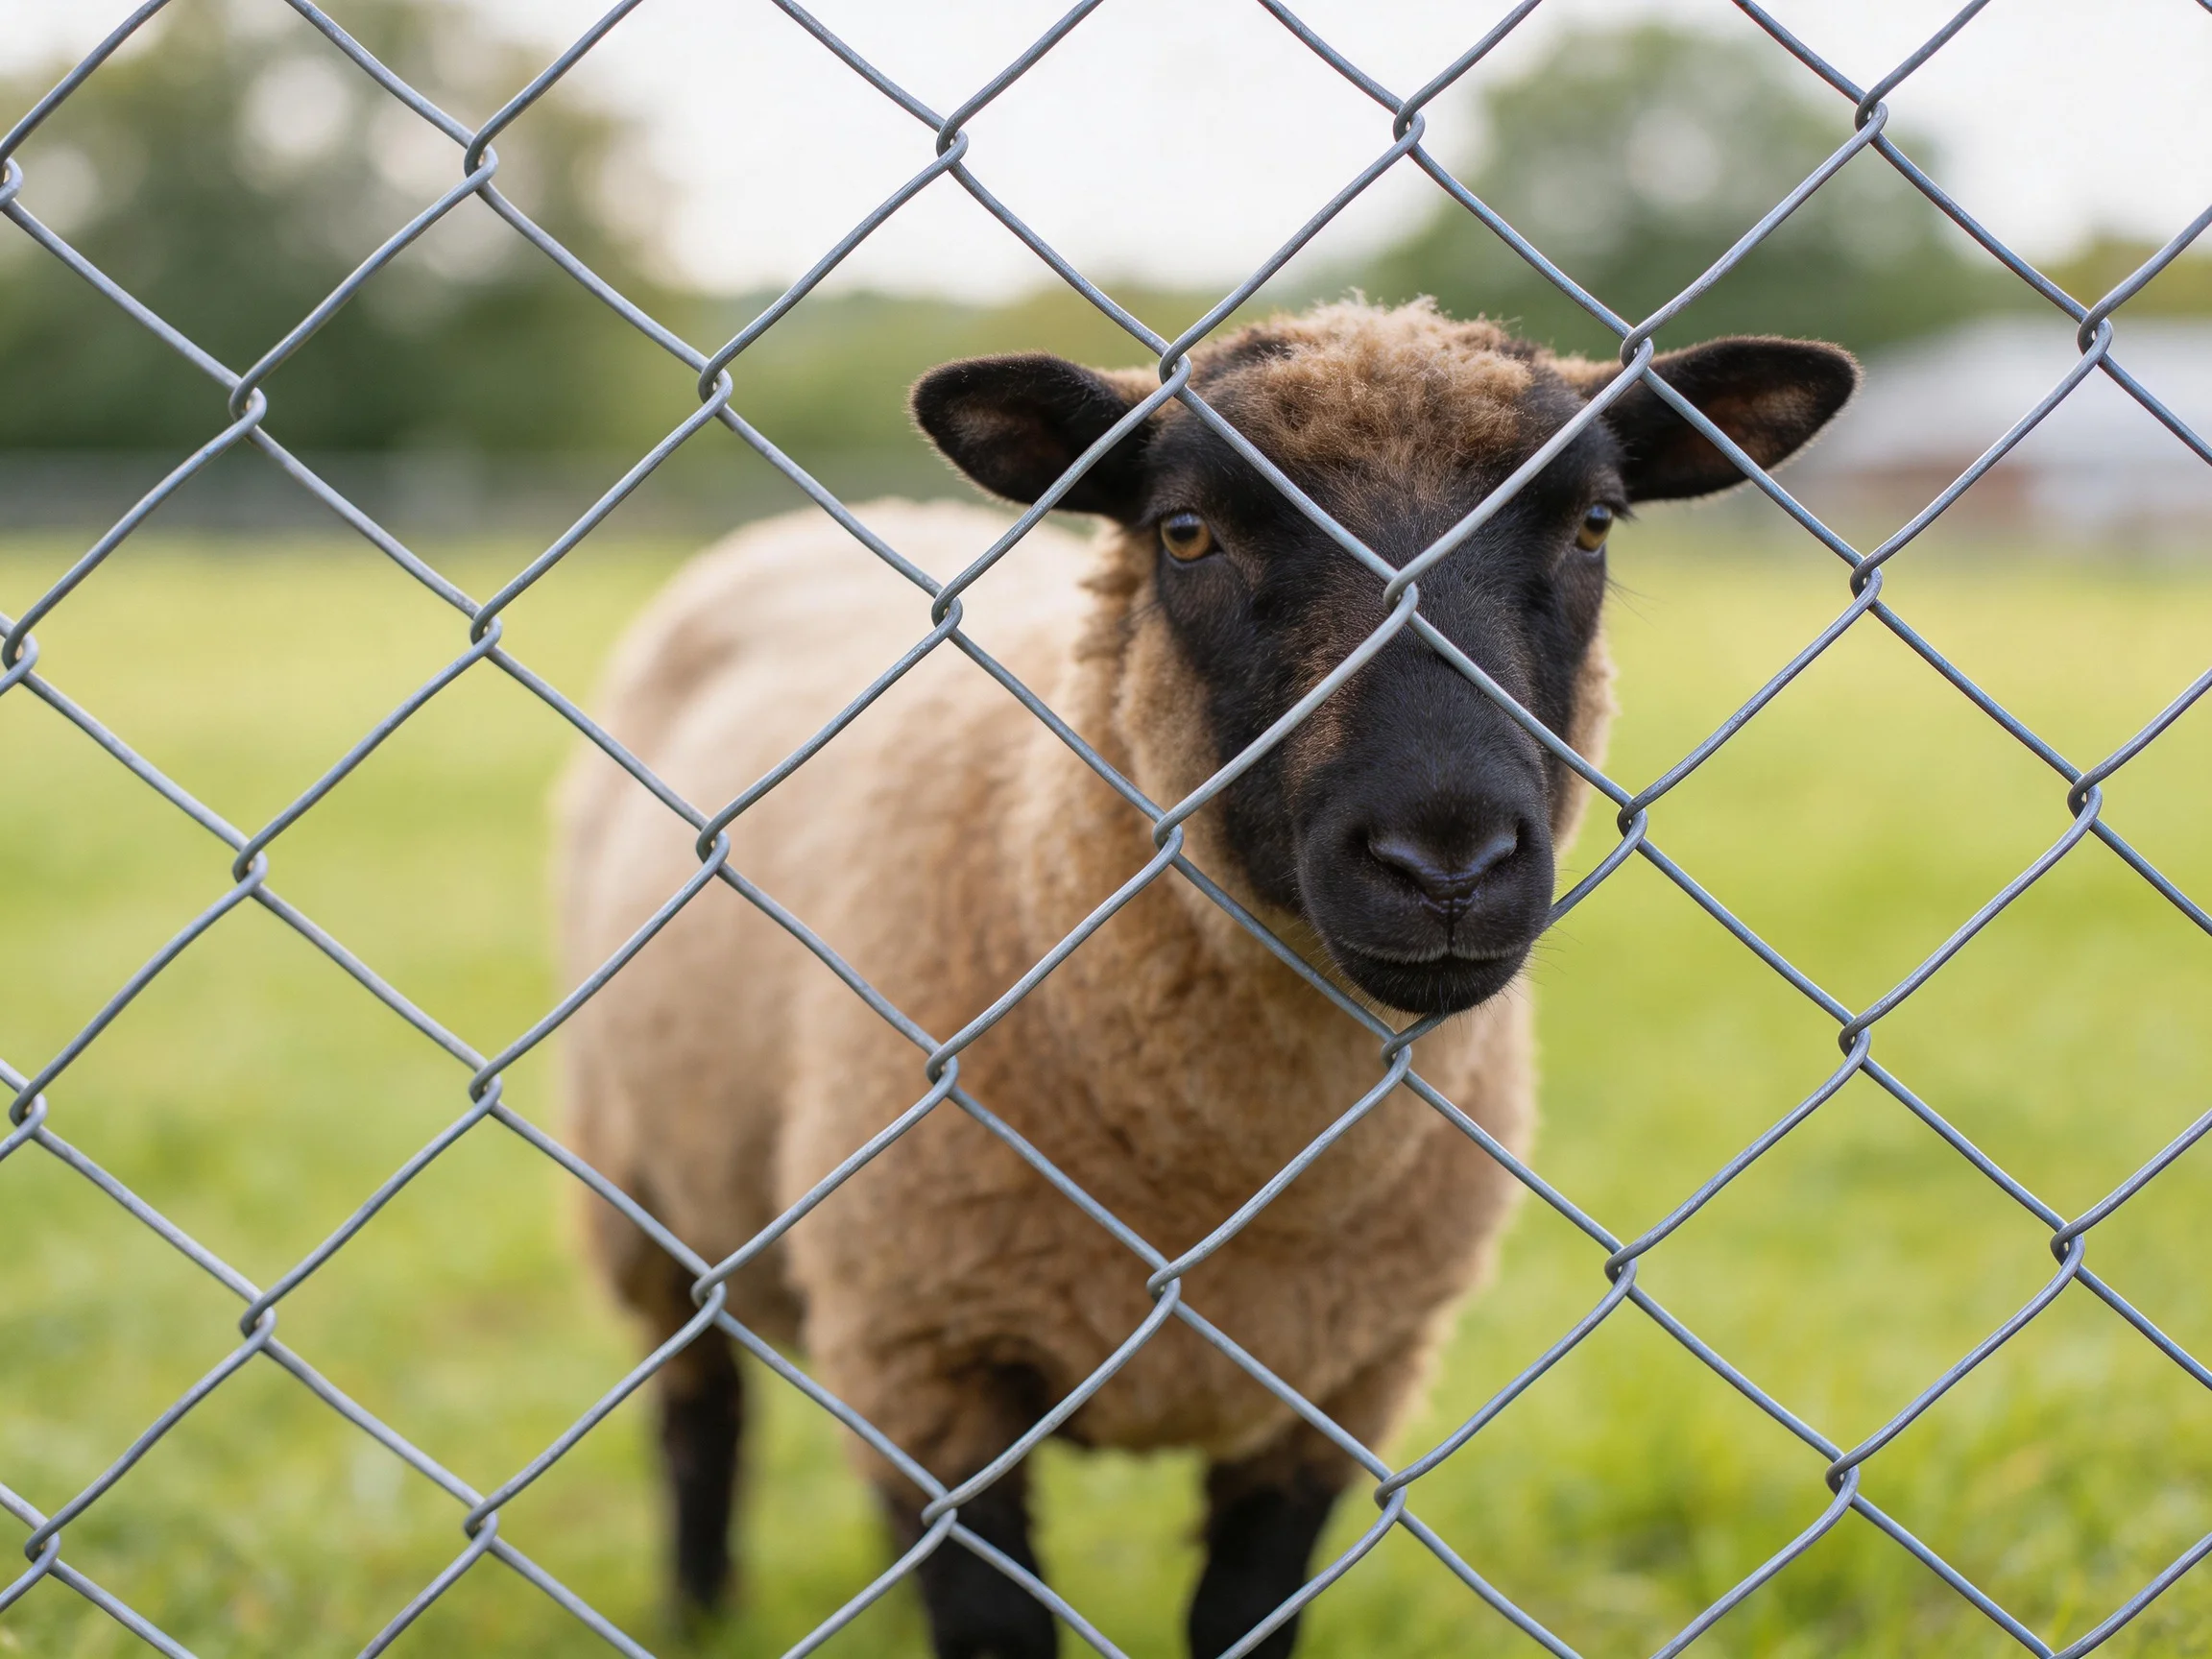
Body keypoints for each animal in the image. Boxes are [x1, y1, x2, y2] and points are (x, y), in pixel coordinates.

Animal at [556, 298, 1855, 1658]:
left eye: (1594, 524)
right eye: (1186, 533)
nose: (1444, 863)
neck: (1225, 1179)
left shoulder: (1337, 1388)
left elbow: (1244, 1613)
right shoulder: (931, 1354)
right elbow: (993, 1623)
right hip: (639, 1184)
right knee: (697, 1404)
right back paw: (696, 1611)